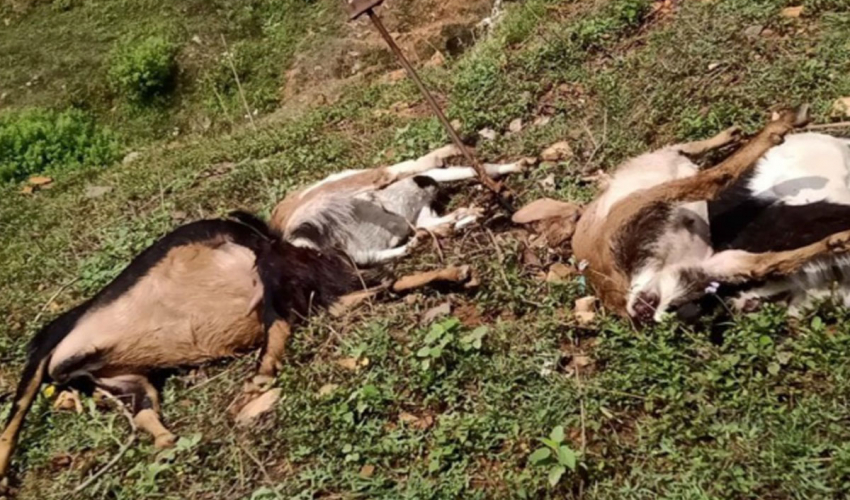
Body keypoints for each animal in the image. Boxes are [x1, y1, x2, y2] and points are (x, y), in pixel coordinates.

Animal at [572, 107, 850, 323]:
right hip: (650, 204)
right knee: (714, 178)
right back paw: (782, 124)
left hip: (705, 266)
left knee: (767, 264)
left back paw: (838, 241)